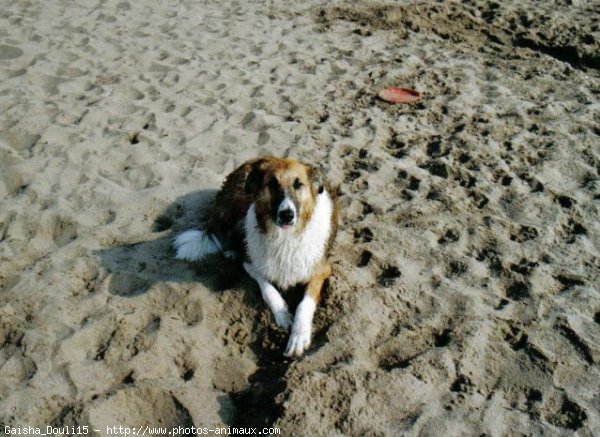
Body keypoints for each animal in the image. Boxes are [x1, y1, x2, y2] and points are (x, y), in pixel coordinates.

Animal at [173, 156, 338, 354]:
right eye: (272, 184)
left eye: (299, 185)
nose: (287, 215)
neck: (285, 238)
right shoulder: (249, 261)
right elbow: (267, 287)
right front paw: (282, 313)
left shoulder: (321, 269)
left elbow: (304, 303)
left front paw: (299, 335)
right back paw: (230, 250)